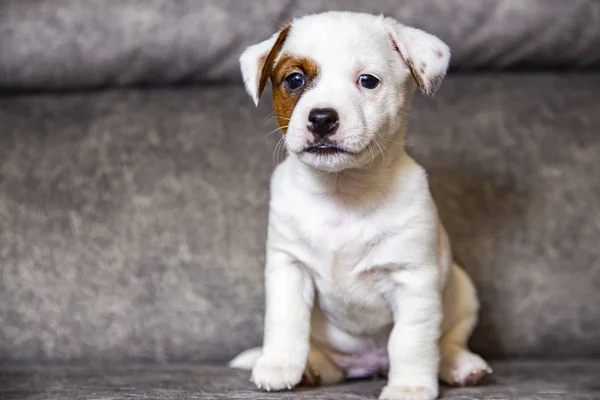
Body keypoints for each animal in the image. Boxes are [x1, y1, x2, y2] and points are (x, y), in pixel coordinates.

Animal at [230, 10, 492, 398]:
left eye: (368, 81)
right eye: (294, 79)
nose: (322, 117)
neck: (343, 192)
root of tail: (368, 366)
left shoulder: (413, 281)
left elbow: (411, 341)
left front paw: (410, 387)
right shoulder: (289, 266)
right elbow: (285, 319)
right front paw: (278, 365)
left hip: (463, 292)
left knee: (447, 341)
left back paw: (460, 365)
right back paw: (311, 370)